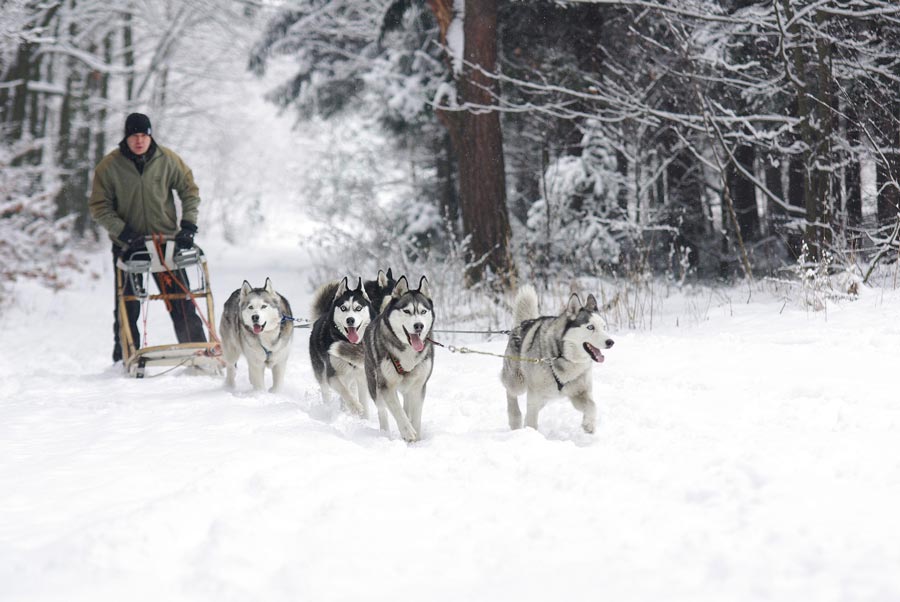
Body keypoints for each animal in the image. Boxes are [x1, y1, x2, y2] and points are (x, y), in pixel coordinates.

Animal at [310, 276, 376, 412]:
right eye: (343, 308)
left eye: (358, 308)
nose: (350, 320)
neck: (351, 344)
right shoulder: (333, 375)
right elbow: (345, 392)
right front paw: (355, 406)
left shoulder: (362, 377)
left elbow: (364, 401)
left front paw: (364, 414)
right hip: (322, 373)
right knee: (327, 391)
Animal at [338, 274, 436, 438]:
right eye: (407, 311)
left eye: (423, 311)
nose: (419, 326)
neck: (407, 351)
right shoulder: (386, 386)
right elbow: (397, 411)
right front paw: (408, 432)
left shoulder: (418, 387)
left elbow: (415, 417)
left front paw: (416, 437)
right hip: (374, 385)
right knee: (382, 410)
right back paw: (385, 431)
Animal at [502, 284, 616, 432]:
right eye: (590, 327)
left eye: (604, 327)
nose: (611, 342)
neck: (565, 357)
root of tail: (522, 325)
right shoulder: (534, 395)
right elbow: (532, 420)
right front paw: (531, 433)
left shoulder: (579, 392)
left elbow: (592, 406)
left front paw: (588, 424)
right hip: (518, 382)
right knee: (510, 393)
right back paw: (515, 419)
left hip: (545, 397)